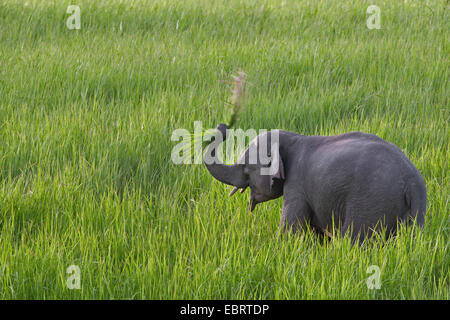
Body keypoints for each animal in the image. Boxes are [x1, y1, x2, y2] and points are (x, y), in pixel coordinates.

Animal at [204, 123, 426, 242]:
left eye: (246, 168)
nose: (223, 127)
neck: (292, 137)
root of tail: (413, 182)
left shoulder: (297, 184)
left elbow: (289, 231)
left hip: (371, 202)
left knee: (353, 240)